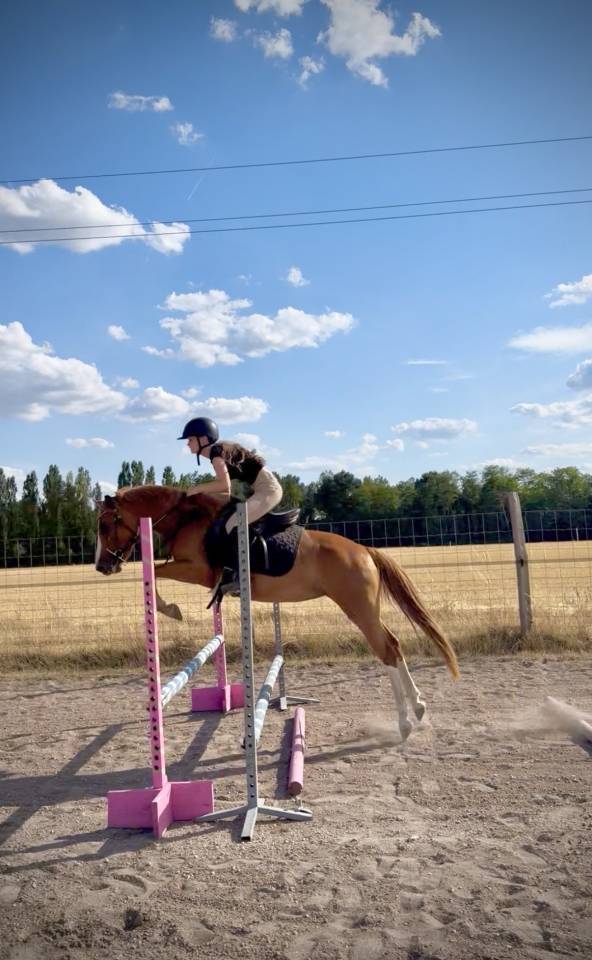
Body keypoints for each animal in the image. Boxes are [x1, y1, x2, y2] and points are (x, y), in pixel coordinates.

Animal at [95, 485, 459, 740]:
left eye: (104, 524)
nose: (102, 567)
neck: (187, 519)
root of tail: (365, 551)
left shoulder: (197, 570)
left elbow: (154, 572)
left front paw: (171, 610)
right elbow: (155, 571)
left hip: (358, 608)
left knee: (387, 649)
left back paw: (405, 722)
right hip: (363, 608)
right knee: (393, 645)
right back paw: (418, 709)